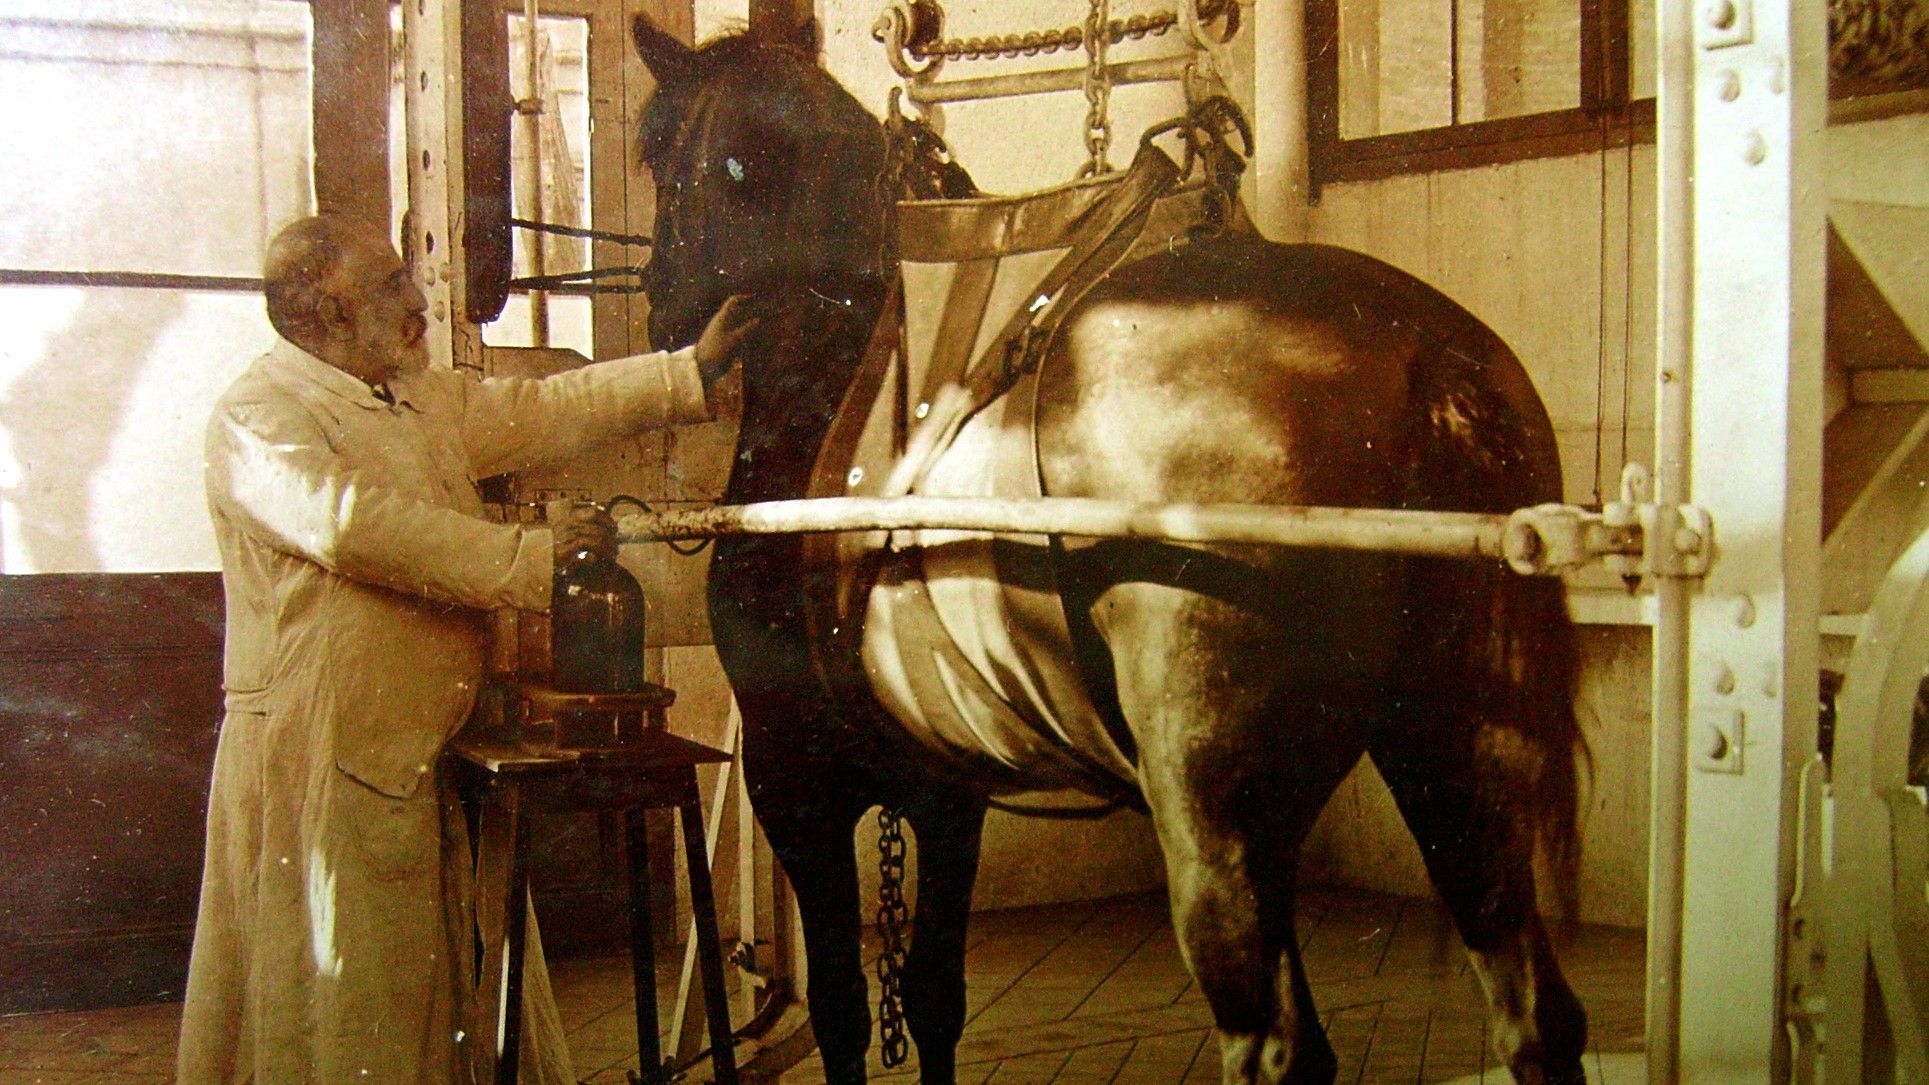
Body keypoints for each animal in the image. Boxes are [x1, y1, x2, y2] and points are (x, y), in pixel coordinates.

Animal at [636, 19, 1597, 1081]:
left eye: (656, 154)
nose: (658, 308)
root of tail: (1428, 362)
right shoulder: (947, 788)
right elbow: (929, 997)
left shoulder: (792, 780)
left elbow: (847, 1008)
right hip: (1450, 768)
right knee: (1531, 1013)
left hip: (1215, 813)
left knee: (1273, 1042)